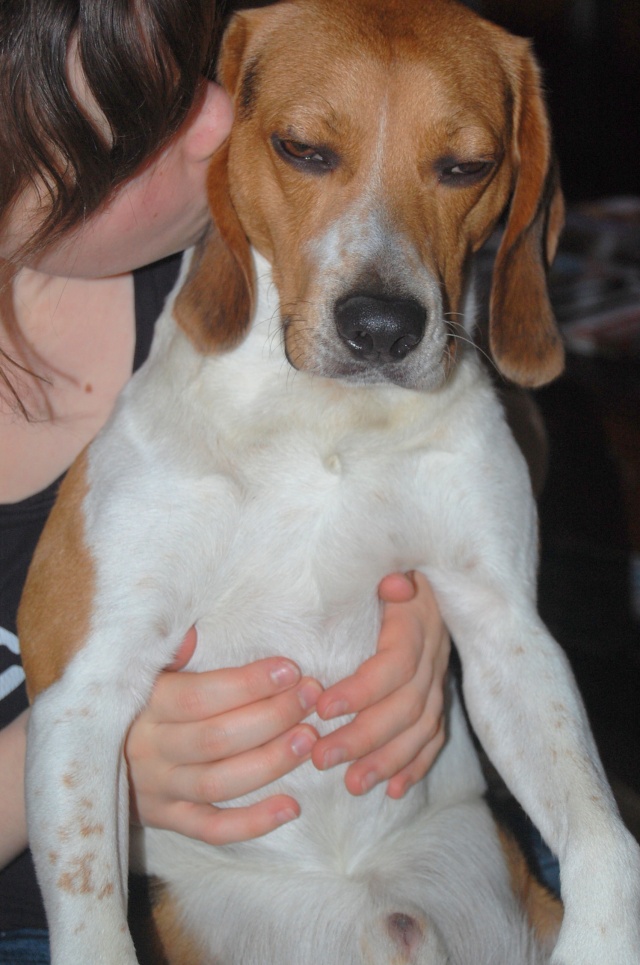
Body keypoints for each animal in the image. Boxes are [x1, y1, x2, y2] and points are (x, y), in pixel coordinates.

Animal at [17, 1, 636, 964]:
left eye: (467, 165)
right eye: (303, 149)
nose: (381, 327)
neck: (327, 421)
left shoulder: (509, 635)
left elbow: (608, 842)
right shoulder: (82, 683)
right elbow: (93, 920)